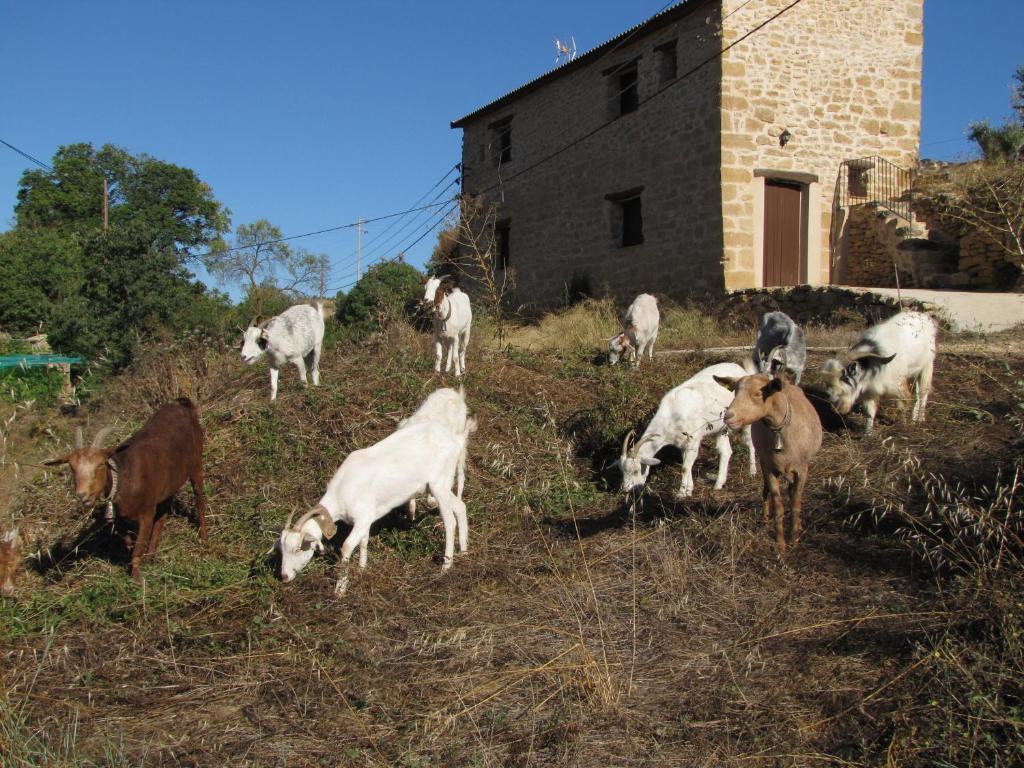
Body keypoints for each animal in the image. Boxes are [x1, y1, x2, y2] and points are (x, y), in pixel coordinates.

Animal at [46, 399, 207, 581]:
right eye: (72, 467)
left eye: (101, 464)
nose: (82, 495)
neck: (123, 477)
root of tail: (185, 406)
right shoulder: (121, 518)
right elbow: (129, 543)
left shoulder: (146, 512)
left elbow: (137, 548)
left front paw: (137, 579)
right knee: (163, 514)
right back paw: (151, 556)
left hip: (196, 461)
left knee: (199, 497)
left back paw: (203, 538)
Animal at [276, 417, 475, 598]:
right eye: (281, 549)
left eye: (298, 548)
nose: (284, 576)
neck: (342, 489)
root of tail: (456, 440)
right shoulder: (365, 519)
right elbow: (364, 541)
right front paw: (362, 568)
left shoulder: (361, 517)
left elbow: (347, 546)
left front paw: (340, 589)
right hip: (439, 486)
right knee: (460, 507)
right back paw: (464, 551)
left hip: (438, 485)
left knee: (449, 521)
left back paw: (446, 566)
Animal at [614, 360, 761, 499]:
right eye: (622, 471)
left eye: (636, 470)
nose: (626, 490)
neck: (672, 415)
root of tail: (743, 371)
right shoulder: (682, 444)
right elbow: (687, 465)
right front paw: (688, 490)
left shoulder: (693, 440)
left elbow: (685, 468)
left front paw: (681, 494)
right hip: (721, 429)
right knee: (726, 451)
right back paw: (718, 484)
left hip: (746, 418)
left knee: (750, 442)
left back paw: (752, 472)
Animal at [716, 370, 827, 552]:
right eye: (735, 392)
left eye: (758, 393)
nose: (728, 416)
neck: (780, 431)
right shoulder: (770, 469)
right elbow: (778, 507)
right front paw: (780, 545)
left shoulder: (802, 469)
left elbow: (796, 503)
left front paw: (794, 539)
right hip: (763, 460)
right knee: (766, 490)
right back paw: (765, 518)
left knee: (791, 491)